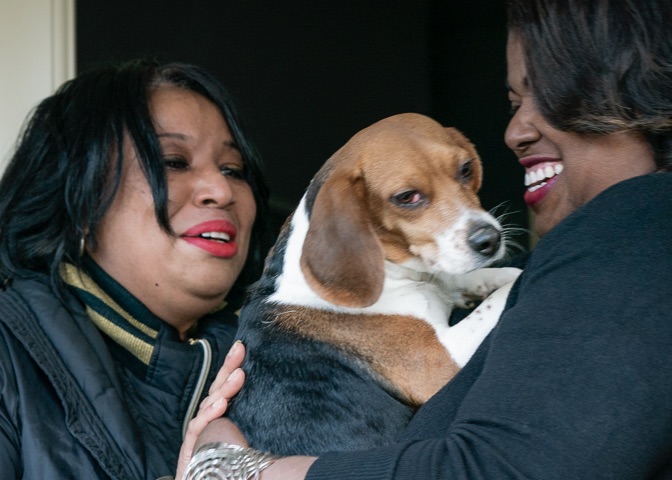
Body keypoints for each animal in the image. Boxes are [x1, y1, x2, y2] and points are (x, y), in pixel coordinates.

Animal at [228, 114, 524, 456]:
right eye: (407, 197)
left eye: (465, 169)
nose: (490, 240)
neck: (397, 271)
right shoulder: (442, 359)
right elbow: (499, 296)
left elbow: (488, 277)